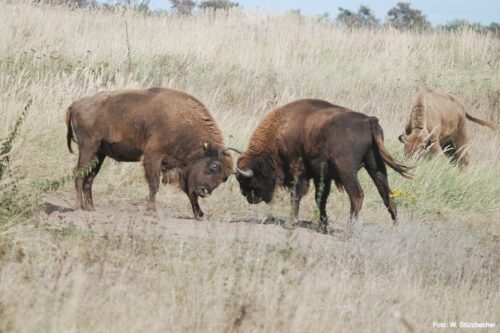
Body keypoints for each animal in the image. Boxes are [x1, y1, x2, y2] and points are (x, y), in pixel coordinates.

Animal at [66, 87, 236, 218]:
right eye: (214, 166)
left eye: (225, 178)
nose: (205, 191)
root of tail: (75, 104)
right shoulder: (153, 157)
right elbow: (154, 184)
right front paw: (151, 211)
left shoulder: (183, 170)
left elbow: (189, 192)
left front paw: (200, 215)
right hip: (88, 147)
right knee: (78, 172)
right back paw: (79, 207)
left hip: (100, 153)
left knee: (90, 177)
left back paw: (90, 208)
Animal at [234, 98, 410, 233]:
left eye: (246, 180)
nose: (248, 197)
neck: (280, 130)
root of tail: (369, 121)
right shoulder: (322, 177)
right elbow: (320, 200)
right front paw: (323, 227)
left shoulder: (299, 173)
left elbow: (296, 196)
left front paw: (291, 223)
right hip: (376, 167)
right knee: (388, 196)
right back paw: (395, 228)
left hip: (347, 171)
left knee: (357, 196)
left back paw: (348, 232)